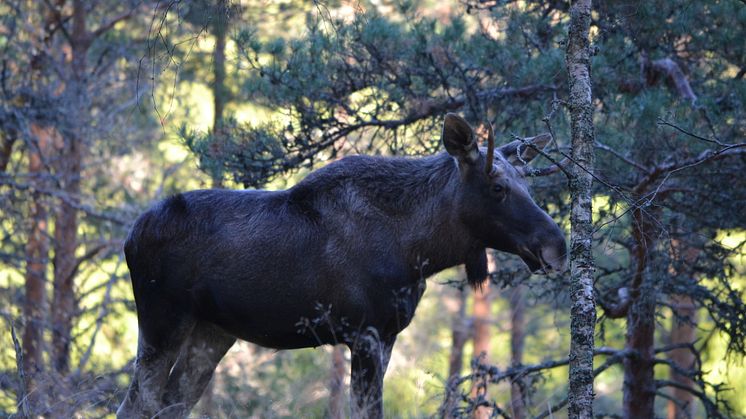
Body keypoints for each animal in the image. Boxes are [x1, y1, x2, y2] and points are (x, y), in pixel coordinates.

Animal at [119, 113, 568, 418]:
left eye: (528, 184)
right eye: (497, 187)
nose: (557, 247)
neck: (419, 250)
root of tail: (131, 234)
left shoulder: (387, 335)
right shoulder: (364, 333)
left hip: (212, 331)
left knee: (169, 405)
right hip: (162, 320)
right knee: (137, 405)